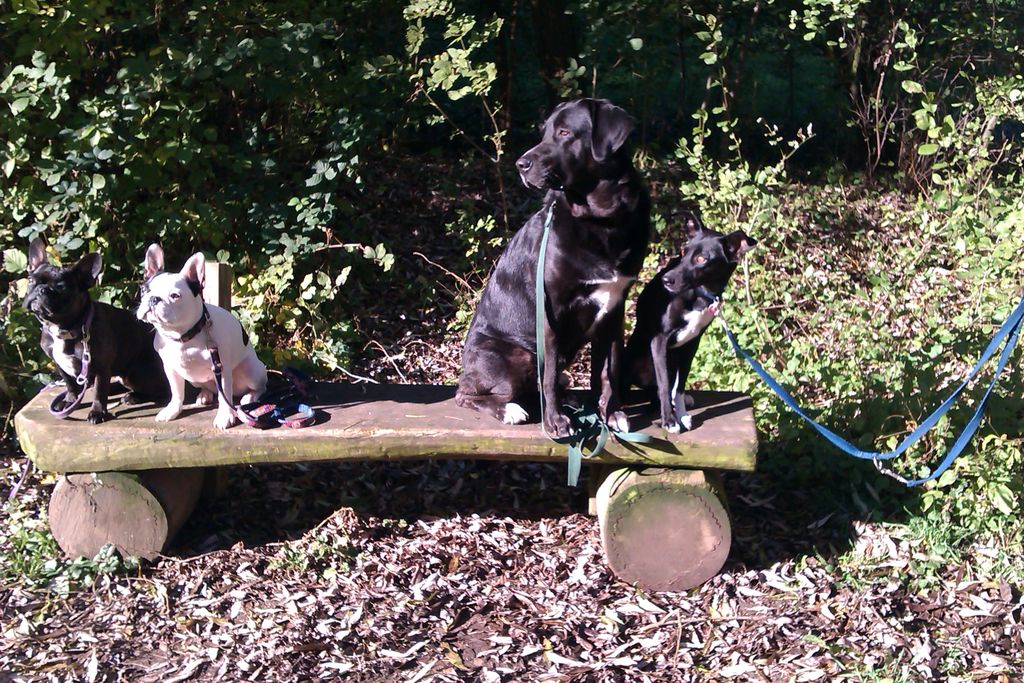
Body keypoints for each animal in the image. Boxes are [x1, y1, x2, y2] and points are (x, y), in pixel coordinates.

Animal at [22, 239, 167, 421]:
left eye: (61, 287)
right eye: (30, 280)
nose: (41, 289)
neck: (65, 329)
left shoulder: (100, 367)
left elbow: (99, 391)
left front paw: (97, 412)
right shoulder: (59, 363)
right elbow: (70, 384)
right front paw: (70, 400)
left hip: (138, 372)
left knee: (162, 390)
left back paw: (134, 396)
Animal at [456, 98, 647, 436]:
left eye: (564, 132)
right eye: (543, 132)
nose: (521, 164)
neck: (601, 219)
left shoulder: (614, 309)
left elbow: (608, 371)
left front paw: (611, 413)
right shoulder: (552, 310)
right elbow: (549, 374)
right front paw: (555, 421)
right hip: (515, 356)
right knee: (468, 394)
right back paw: (510, 410)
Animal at [618, 214, 757, 432]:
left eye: (701, 259)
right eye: (683, 251)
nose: (666, 280)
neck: (699, 294)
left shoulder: (692, 343)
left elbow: (679, 386)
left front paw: (681, 414)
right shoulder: (659, 339)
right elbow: (664, 385)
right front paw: (669, 420)